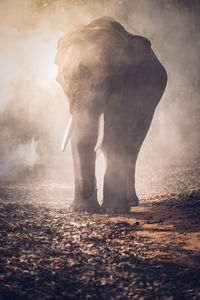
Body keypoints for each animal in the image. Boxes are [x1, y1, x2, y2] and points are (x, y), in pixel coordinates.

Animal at [55, 17, 167, 213]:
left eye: (109, 79)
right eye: (65, 78)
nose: (92, 189)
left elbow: (117, 131)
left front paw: (114, 210)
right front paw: (81, 210)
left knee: (133, 145)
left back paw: (131, 202)